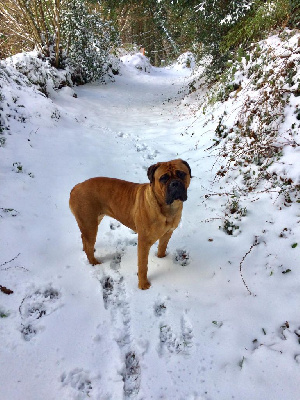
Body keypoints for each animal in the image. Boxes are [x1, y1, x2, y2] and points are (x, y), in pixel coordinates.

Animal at [69, 158, 191, 290]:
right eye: (163, 178)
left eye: (181, 174)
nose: (175, 183)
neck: (167, 208)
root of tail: (76, 187)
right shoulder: (144, 242)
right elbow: (143, 266)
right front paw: (143, 285)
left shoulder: (167, 233)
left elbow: (162, 247)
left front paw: (161, 258)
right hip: (89, 224)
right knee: (88, 244)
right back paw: (94, 262)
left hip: (94, 220)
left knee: (85, 239)